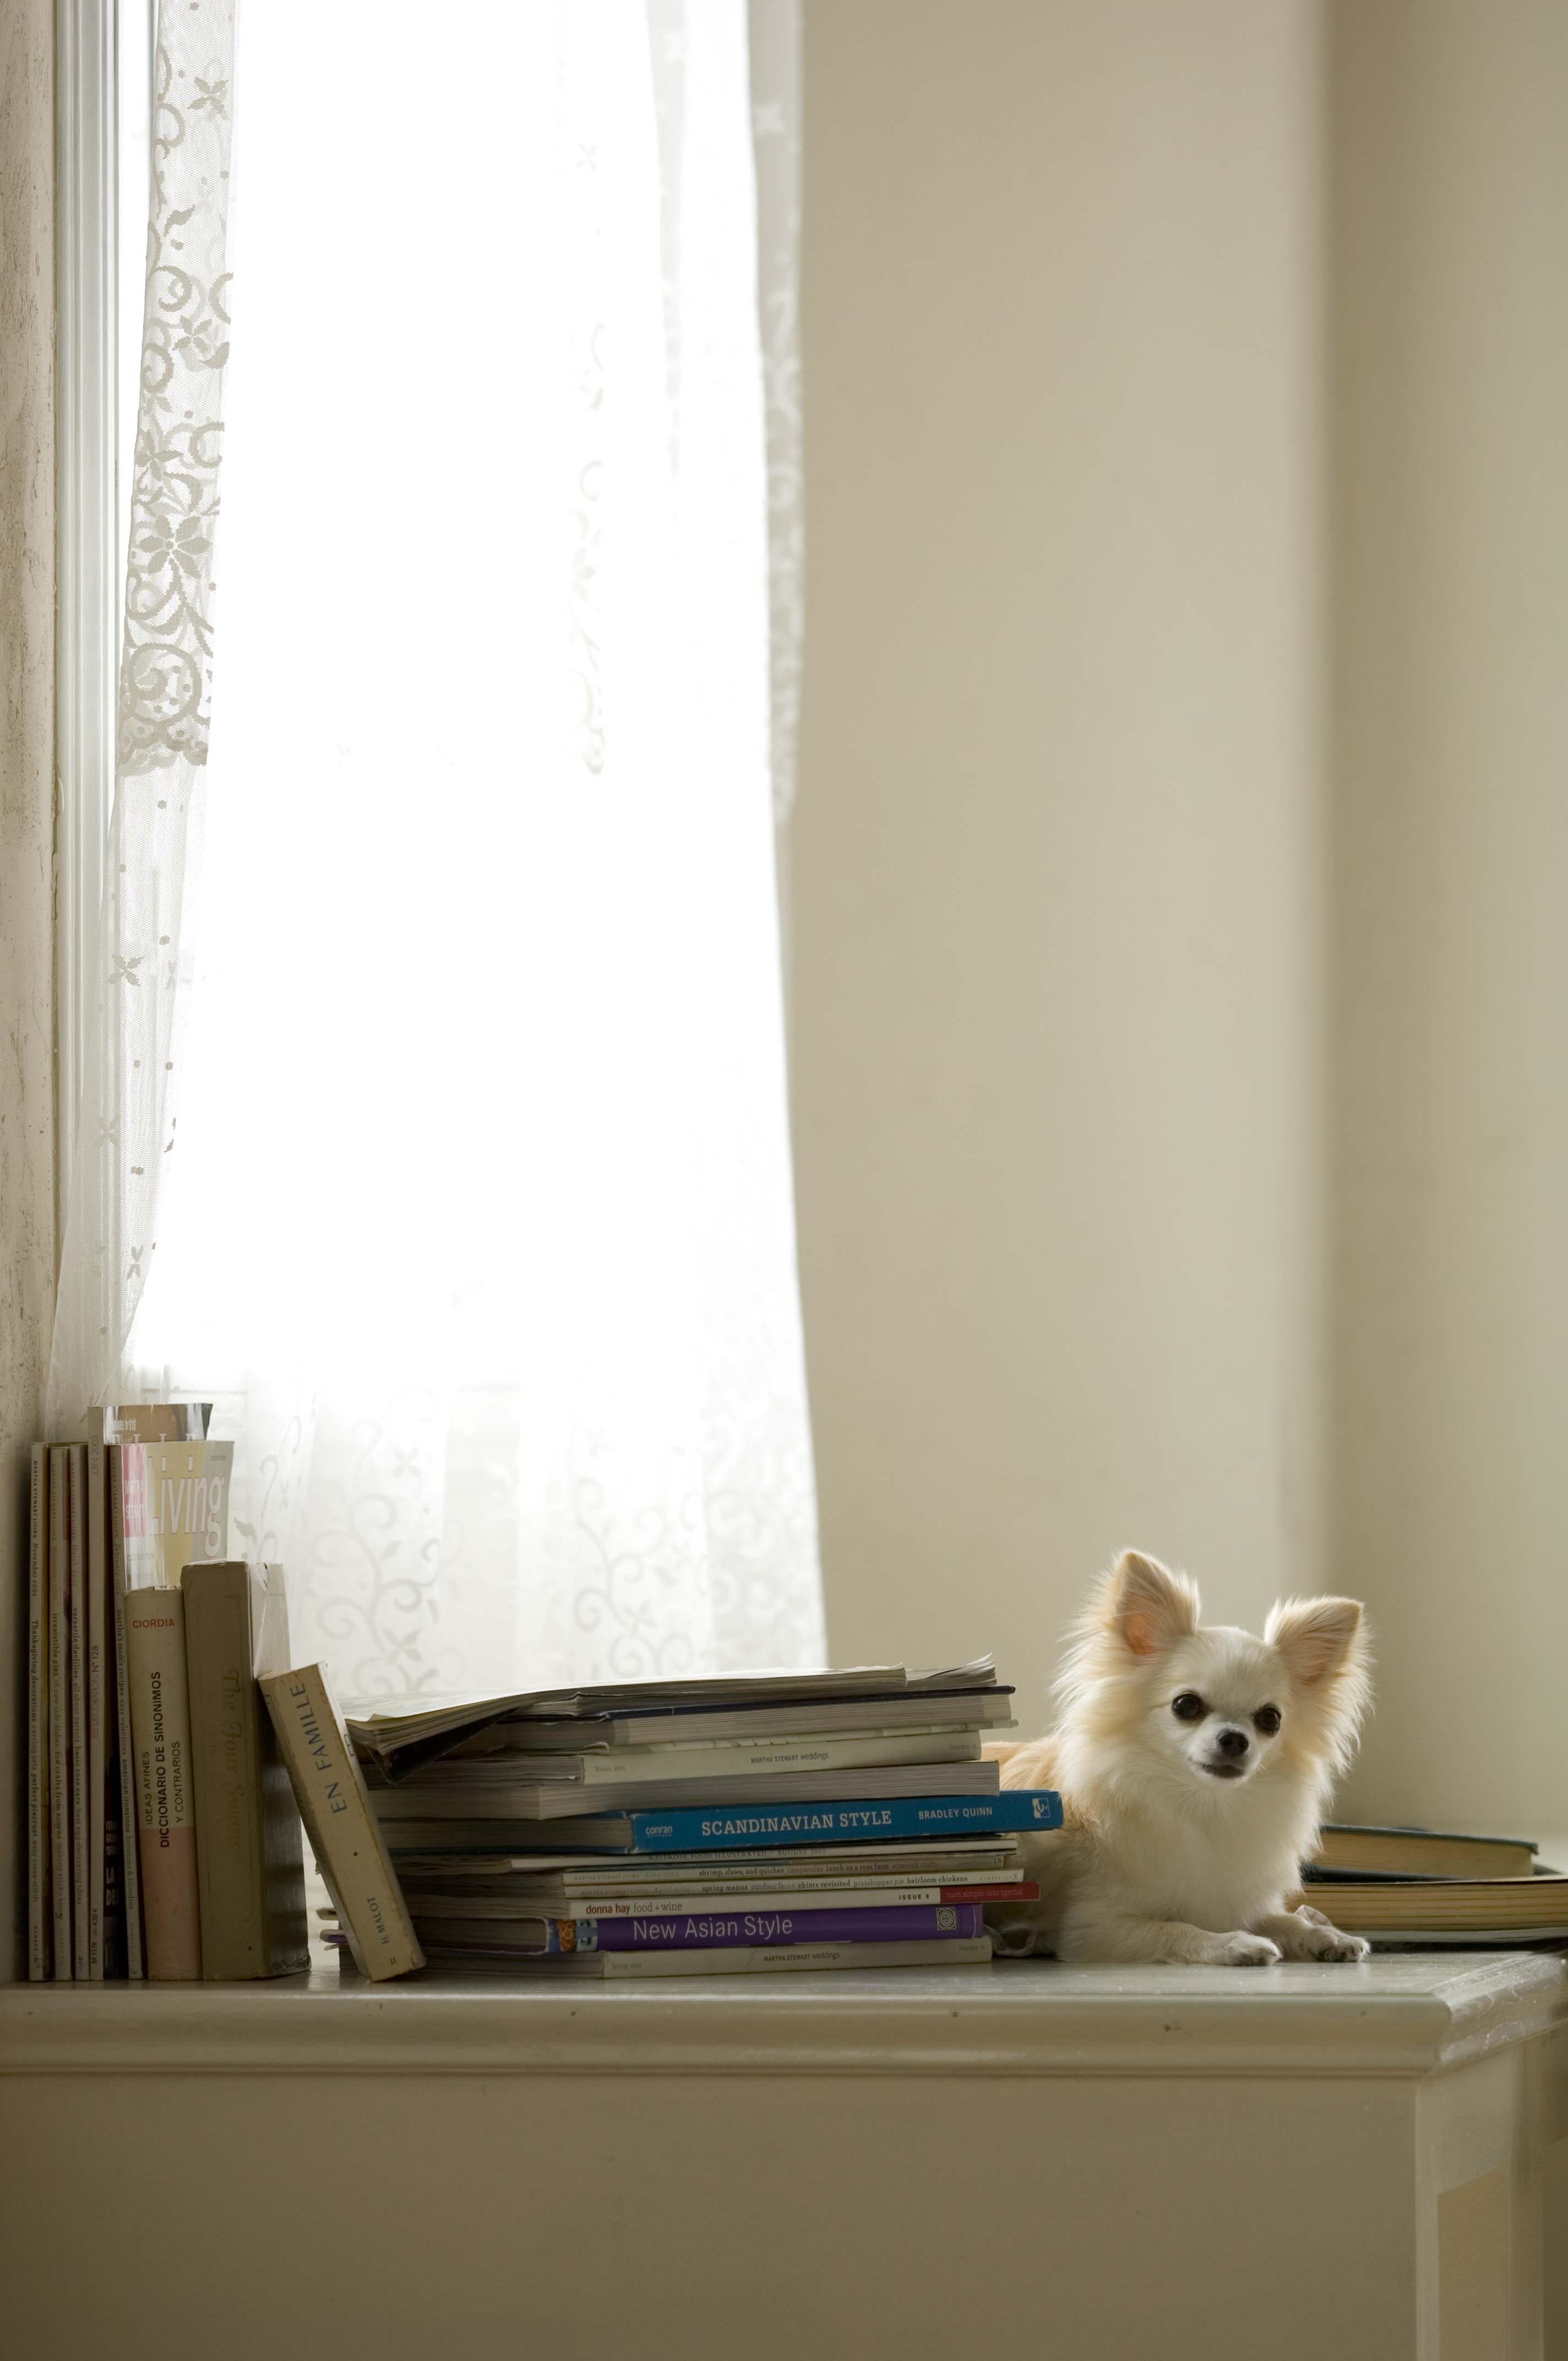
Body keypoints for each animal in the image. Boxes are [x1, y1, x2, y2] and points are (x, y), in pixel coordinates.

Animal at [987, 1548, 1373, 1966]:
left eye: (1270, 1719)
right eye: (1186, 1705)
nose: (1235, 1739)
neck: (1203, 1807)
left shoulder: (1232, 1900)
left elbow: (1287, 1920)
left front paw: (1327, 1935)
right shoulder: (1091, 1927)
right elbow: (1177, 1928)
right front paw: (1235, 1943)